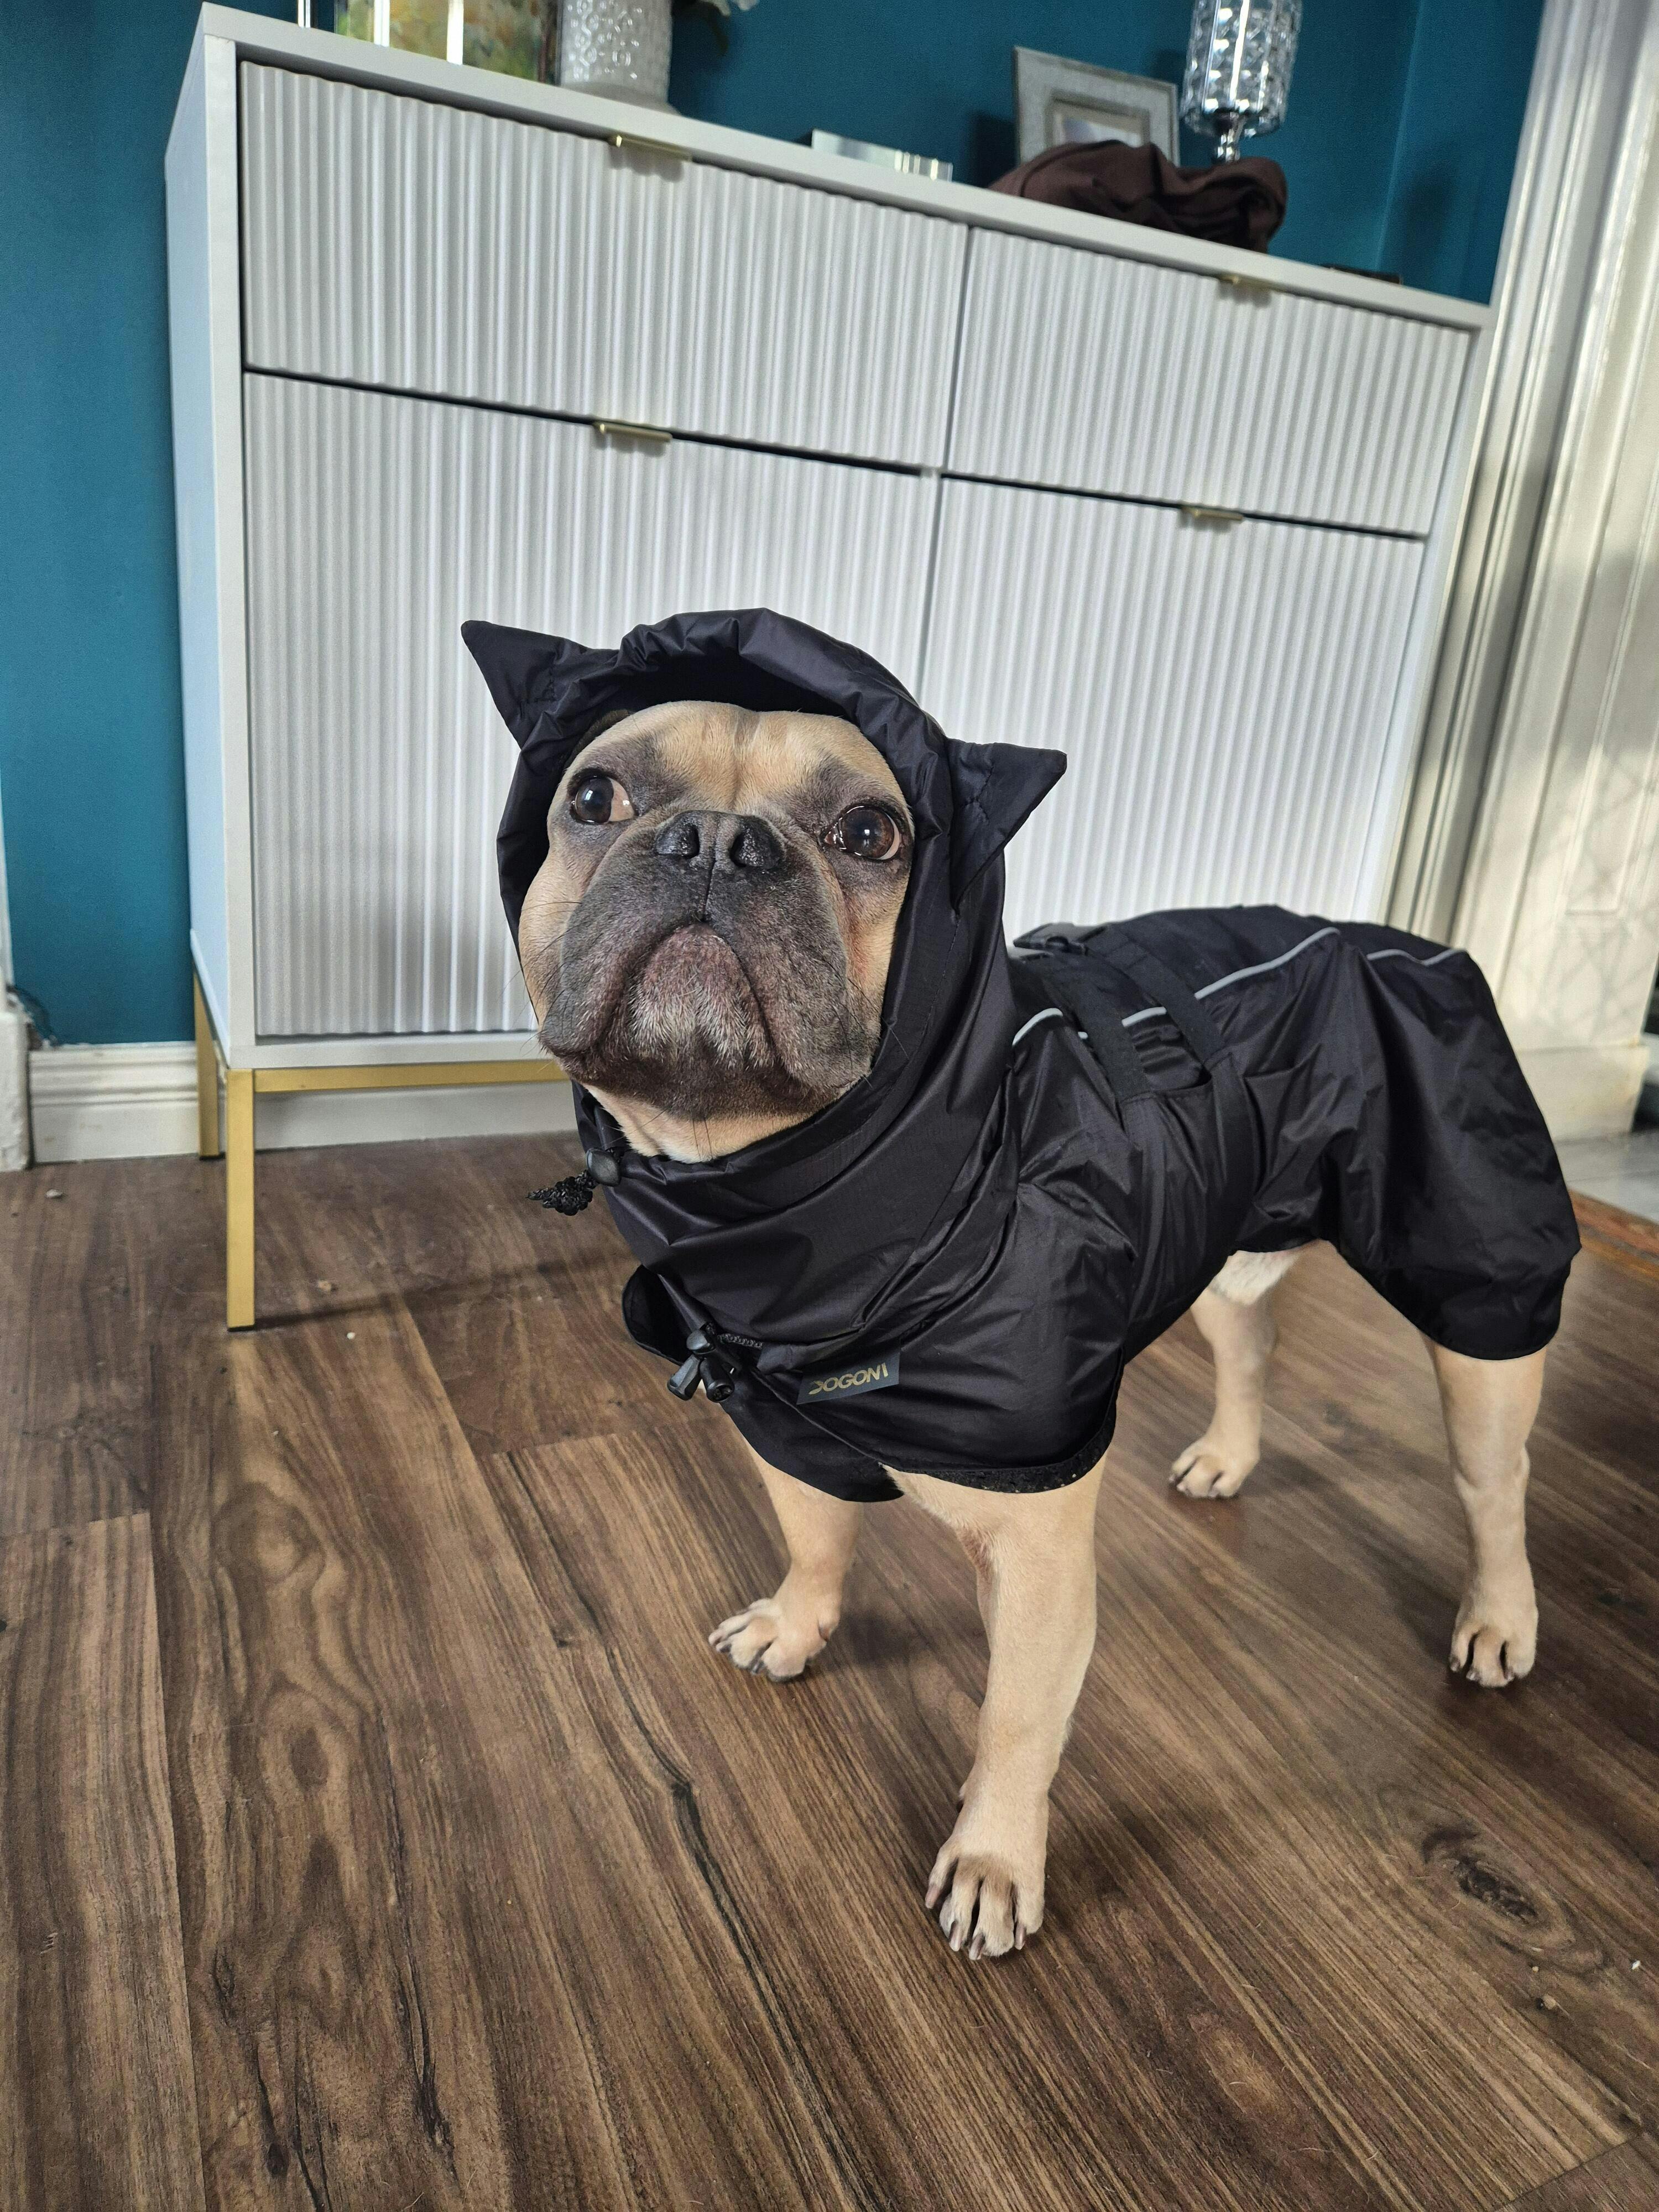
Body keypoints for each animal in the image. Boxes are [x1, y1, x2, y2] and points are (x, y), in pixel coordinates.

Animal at [466, 610, 1580, 1963]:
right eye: (594, 796)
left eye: (873, 834)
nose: (717, 841)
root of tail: (1404, 943)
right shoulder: (785, 1427)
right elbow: (817, 1538)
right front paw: (796, 1624)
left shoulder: (1040, 1541)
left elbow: (1015, 1712)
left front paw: (996, 1858)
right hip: (1222, 1234)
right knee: (1251, 1343)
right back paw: (1229, 1457)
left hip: (1476, 1266)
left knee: (1494, 1476)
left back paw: (1500, 1614)